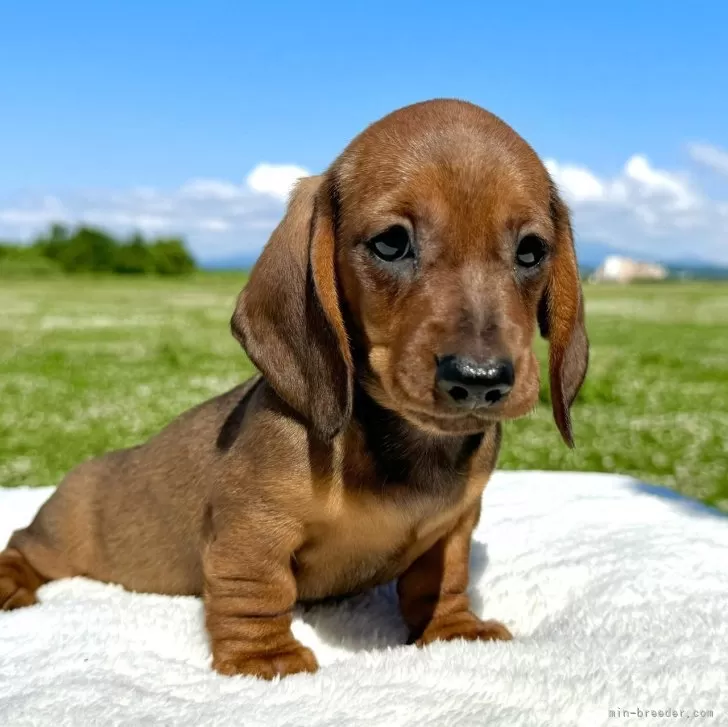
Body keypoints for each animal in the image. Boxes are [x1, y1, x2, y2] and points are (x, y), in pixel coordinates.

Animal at [0, 99, 588, 680]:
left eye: (532, 251)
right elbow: (258, 589)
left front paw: (454, 630)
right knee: (22, 545)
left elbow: (441, 580)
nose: (478, 379)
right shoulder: (252, 529)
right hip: (62, 538)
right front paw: (265, 657)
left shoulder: (454, 527)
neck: (403, 447)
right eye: (392, 243)